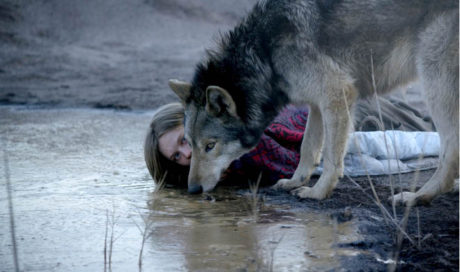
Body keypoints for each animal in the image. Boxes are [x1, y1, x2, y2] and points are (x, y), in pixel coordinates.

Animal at [168, 0, 456, 205]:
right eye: (189, 144)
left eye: (210, 146)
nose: (192, 189)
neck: (265, 54)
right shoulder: (318, 104)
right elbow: (308, 149)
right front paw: (295, 182)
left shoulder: (337, 92)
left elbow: (330, 158)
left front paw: (318, 193)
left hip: (434, 85)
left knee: (451, 153)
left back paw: (417, 197)